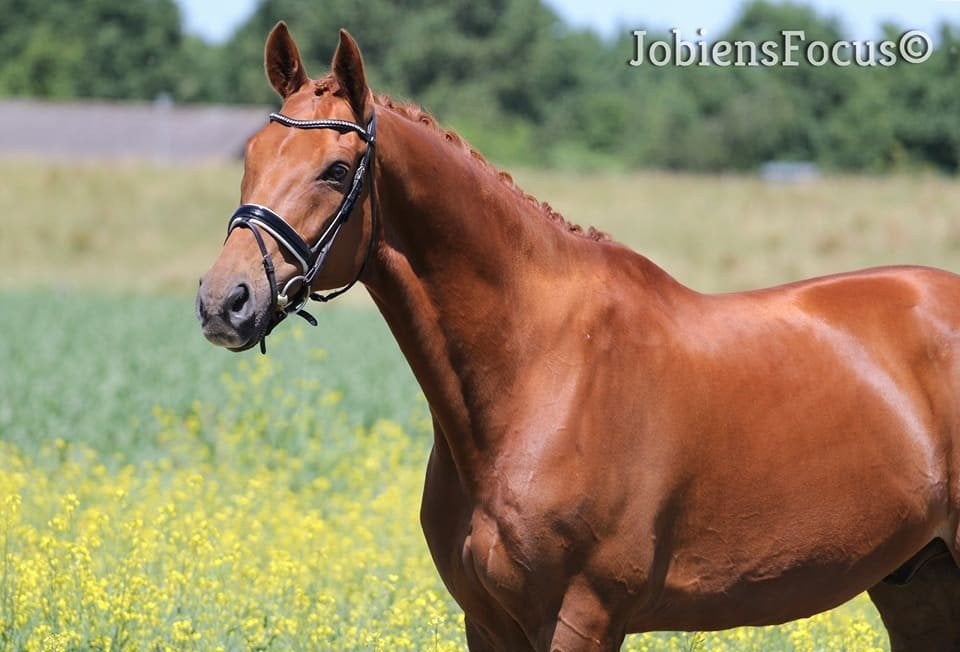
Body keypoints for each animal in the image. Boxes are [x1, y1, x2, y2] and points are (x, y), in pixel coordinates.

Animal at [196, 23, 960, 651]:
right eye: (252, 156)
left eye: (336, 170)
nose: (224, 300)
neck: (540, 370)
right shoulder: (488, 624)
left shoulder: (582, 617)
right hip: (917, 584)